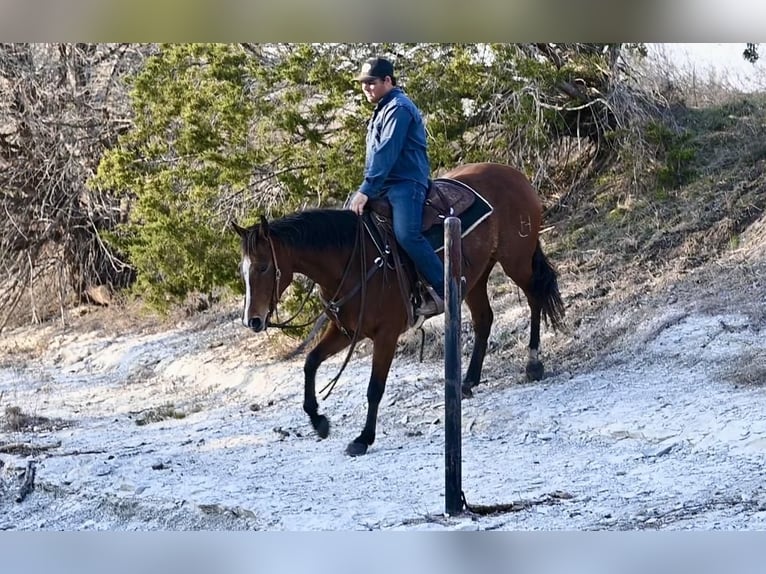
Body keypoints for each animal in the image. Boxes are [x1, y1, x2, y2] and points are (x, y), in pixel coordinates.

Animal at [234, 163, 564, 460]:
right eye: (243, 270)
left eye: (263, 267)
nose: (253, 320)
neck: (352, 259)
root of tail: (514, 174)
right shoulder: (346, 331)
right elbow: (311, 362)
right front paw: (319, 421)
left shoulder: (386, 335)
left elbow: (374, 388)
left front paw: (363, 439)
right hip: (477, 277)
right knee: (485, 319)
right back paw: (468, 382)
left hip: (516, 260)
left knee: (535, 297)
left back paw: (533, 363)